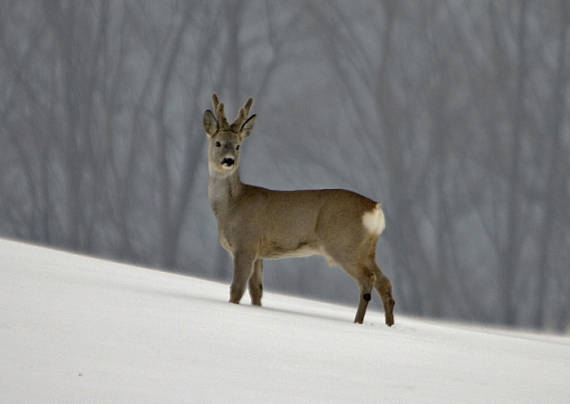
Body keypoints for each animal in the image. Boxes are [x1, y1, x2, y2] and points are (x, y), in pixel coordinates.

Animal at [204, 94, 394, 326]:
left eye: (238, 146)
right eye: (218, 142)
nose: (228, 160)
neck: (231, 206)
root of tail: (375, 208)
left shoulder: (245, 244)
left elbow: (236, 290)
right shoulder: (259, 253)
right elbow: (257, 292)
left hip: (343, 244)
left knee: (368, 280)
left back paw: (358, 322)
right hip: (367, 248)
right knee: (385, 282)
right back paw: (389, 325)